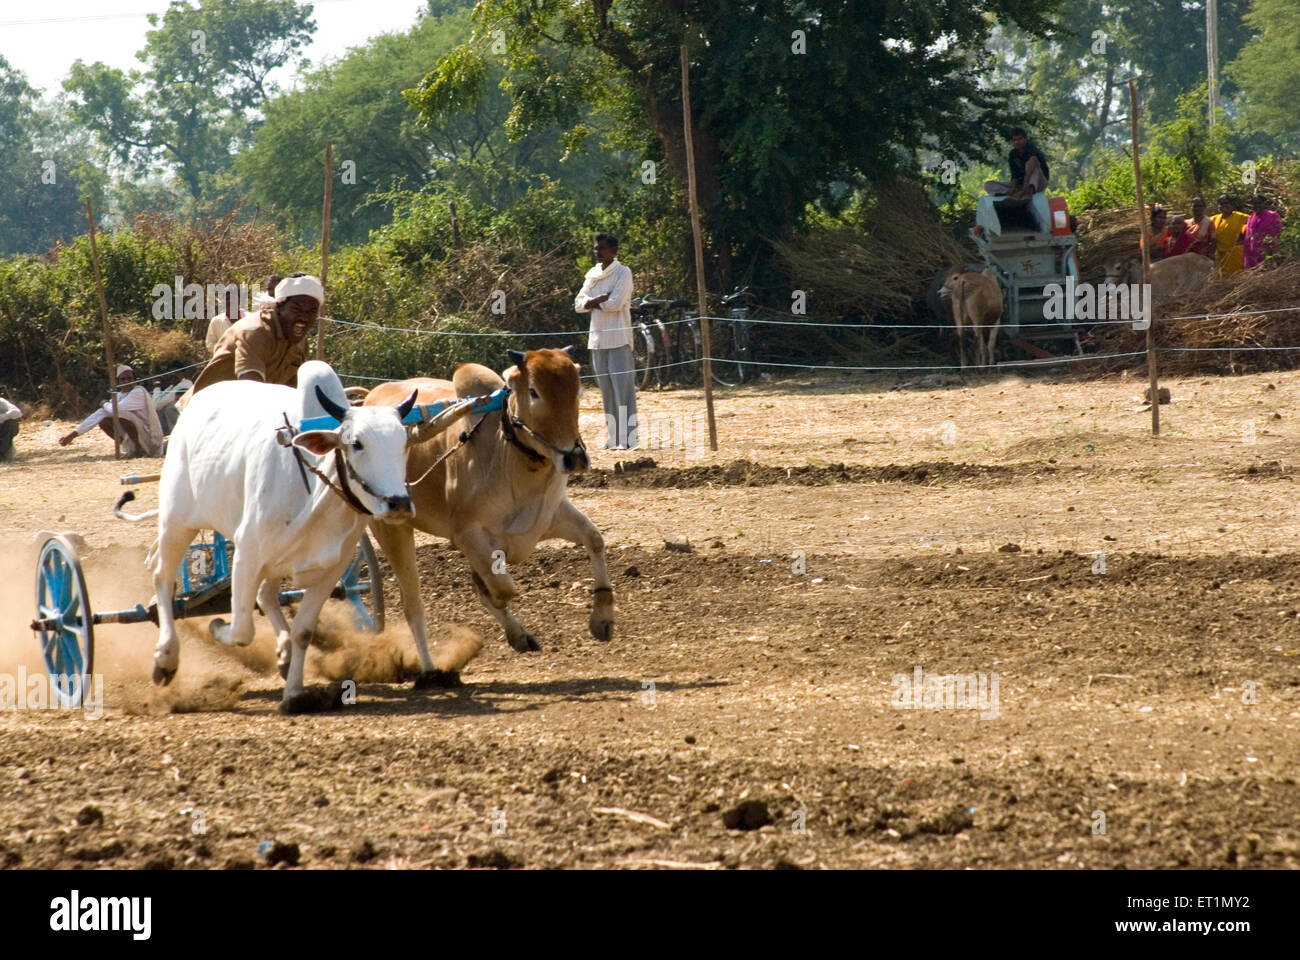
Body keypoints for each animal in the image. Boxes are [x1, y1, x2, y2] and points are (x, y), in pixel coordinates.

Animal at [148, 359, 423, 712]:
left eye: (403, 444)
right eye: (356, 443)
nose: (399, 502)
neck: (316, 487)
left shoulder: (331, 570)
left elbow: (302, 631)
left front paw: (294, 693)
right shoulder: (248, 553)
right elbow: (242, 629)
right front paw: (217, 627)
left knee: (266, 596)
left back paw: (284, 655)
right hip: (176, 521)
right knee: (163, 578)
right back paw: (165, 658)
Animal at [361, 343, 613, 681]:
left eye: (578, 388)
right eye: (534, 391)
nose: (575, 458)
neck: (512, 459)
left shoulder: (552, 517)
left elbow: (594, 540)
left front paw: (602, 618)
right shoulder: (468, 536)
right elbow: (500, 588)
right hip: (392, 529)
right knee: (411, 603)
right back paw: (429, 670)